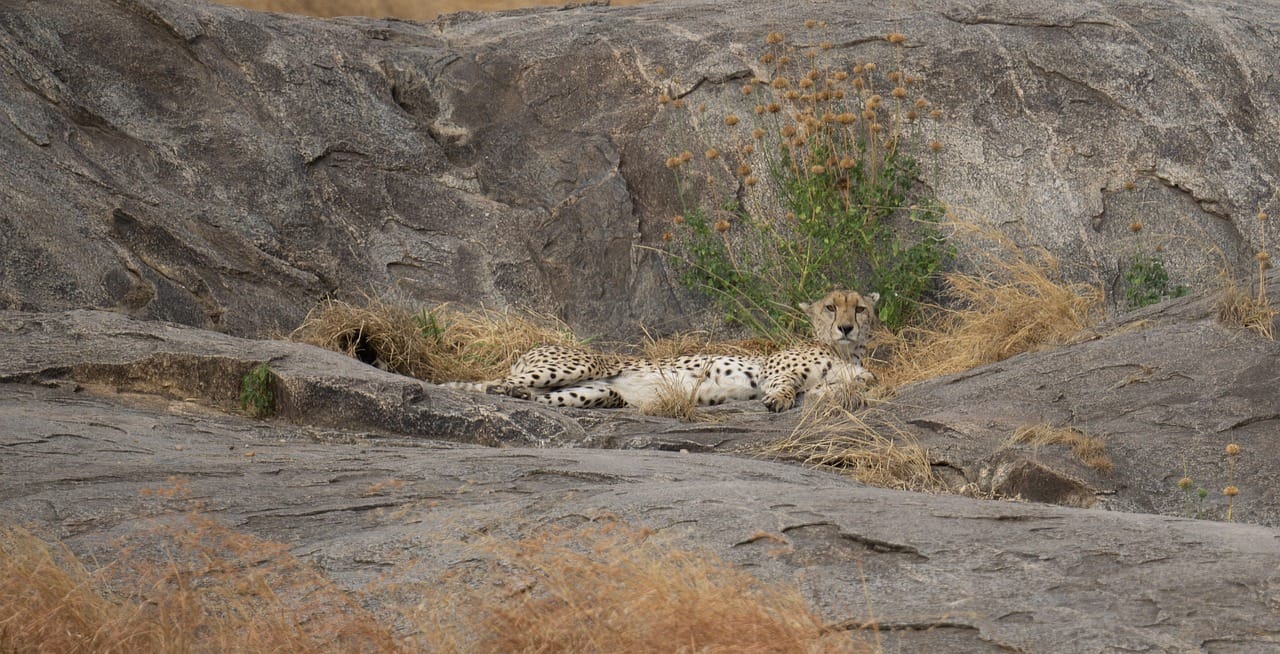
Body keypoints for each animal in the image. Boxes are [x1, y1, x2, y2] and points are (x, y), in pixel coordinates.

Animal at [442, 289, 880, 412]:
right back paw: (492, 389)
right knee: (490, 381)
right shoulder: (774, 369)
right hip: (583, 363)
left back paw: (519, 396)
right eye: (831, 307)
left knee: (541, 396)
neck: (842, 352)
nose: (846, 327)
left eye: (859, 308)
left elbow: (859, 385)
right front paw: (778, 400)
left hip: (597, 392)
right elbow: (784, 384)